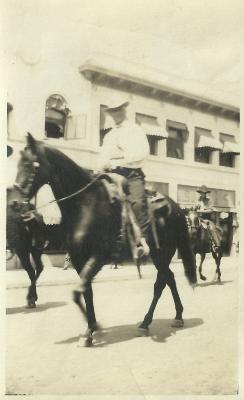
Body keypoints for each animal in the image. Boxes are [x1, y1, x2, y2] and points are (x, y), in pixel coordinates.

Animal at [12, 134, 196, 346]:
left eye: (29, 164)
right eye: (18, 163)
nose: (15, 202)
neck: (85, 204)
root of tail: (176, 207)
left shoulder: (99, 256)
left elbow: (77, 292)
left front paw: (93, 328)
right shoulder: (79, 259)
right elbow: (85, 291)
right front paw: (90, 329)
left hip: (162, 253)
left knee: (161, 283)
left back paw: (146, 323)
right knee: (170, 278)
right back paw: (177, 316)